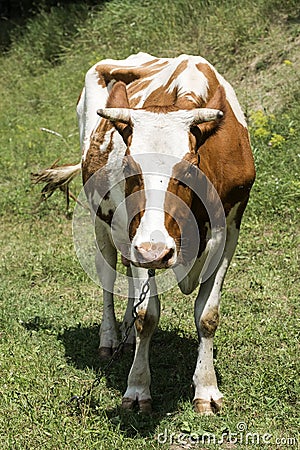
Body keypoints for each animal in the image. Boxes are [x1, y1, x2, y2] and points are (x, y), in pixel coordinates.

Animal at [35, 52, 255, 414]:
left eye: (190, 168)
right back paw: (110, 338)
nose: (156, 252)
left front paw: (207, 389)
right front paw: (137, 389)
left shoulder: (228, 233)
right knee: (109, 279)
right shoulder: (136, 234)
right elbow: (146, 315)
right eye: (128, 166)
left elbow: (207, 315)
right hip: (105, 224)